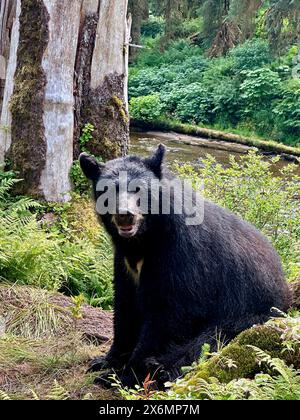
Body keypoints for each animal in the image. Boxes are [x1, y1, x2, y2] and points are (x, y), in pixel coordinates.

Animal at [79, 146, 290, 388]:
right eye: (108, 190)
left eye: (139, 189)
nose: (125, 215)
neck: (144, 240)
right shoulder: (125, 262)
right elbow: (125, 306)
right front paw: (104, 361)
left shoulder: (182, 254)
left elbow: (172, 312)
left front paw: (125, 374)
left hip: (249, 315)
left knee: (208, 342)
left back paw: (161, 370)